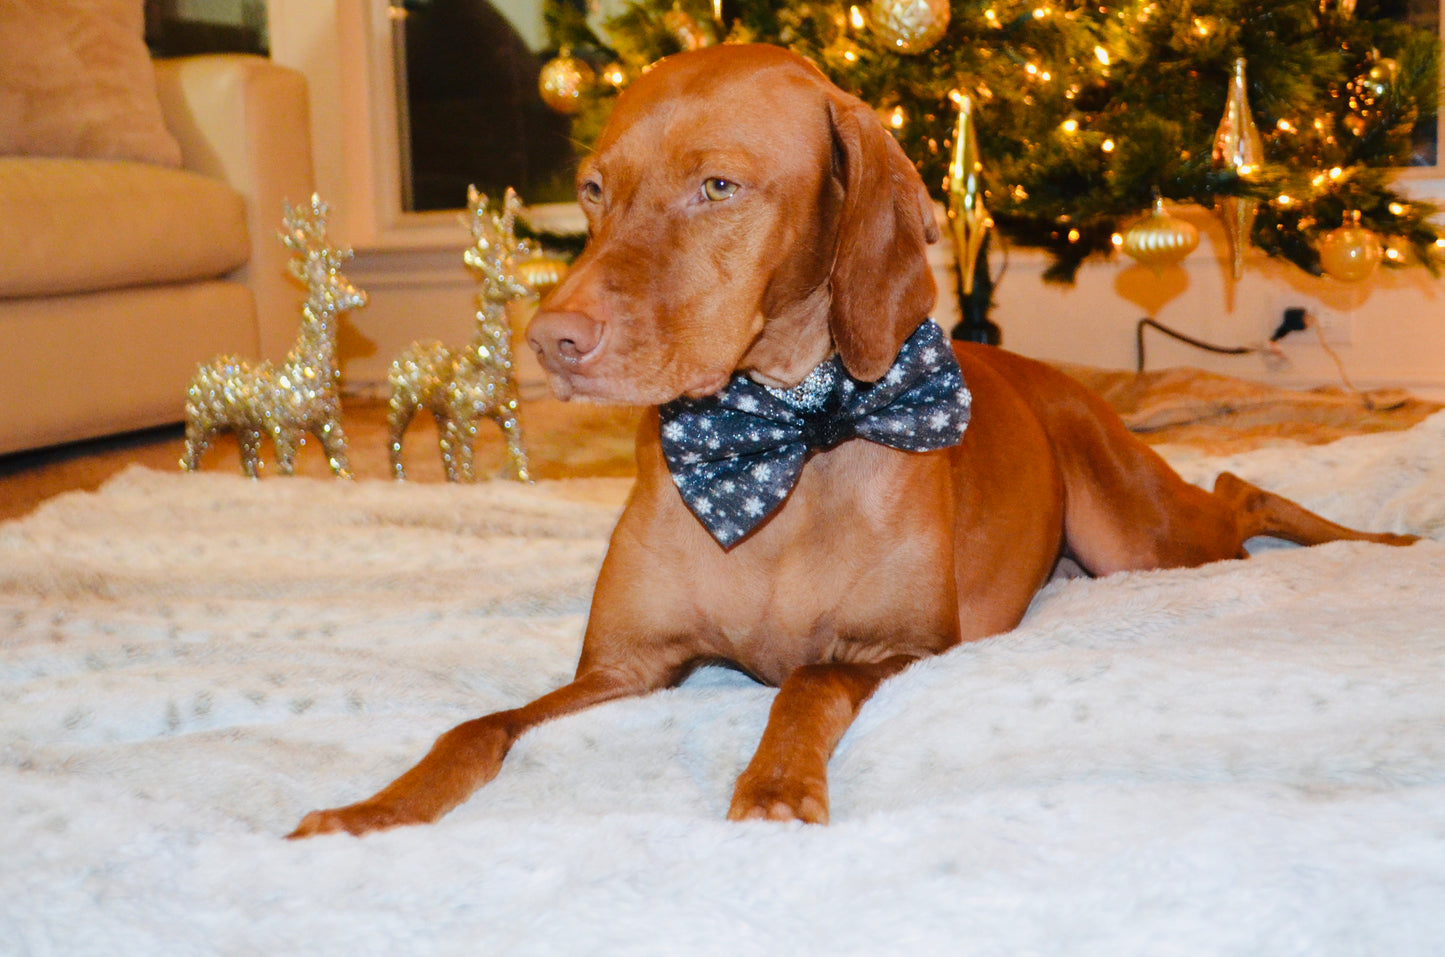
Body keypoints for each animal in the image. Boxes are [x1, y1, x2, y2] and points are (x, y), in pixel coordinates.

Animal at [287, 46, 1416, 838]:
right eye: (595, 189)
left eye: (718, 187)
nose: (552, 341)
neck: (787, 438)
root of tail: (1049, 375)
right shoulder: (623, 669)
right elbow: (475, 726)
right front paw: (373, 811)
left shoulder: (902, 648)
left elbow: (807, 679)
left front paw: (776, 783)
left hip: (1139, 538)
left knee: (1241, 488)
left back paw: (1390, 542)